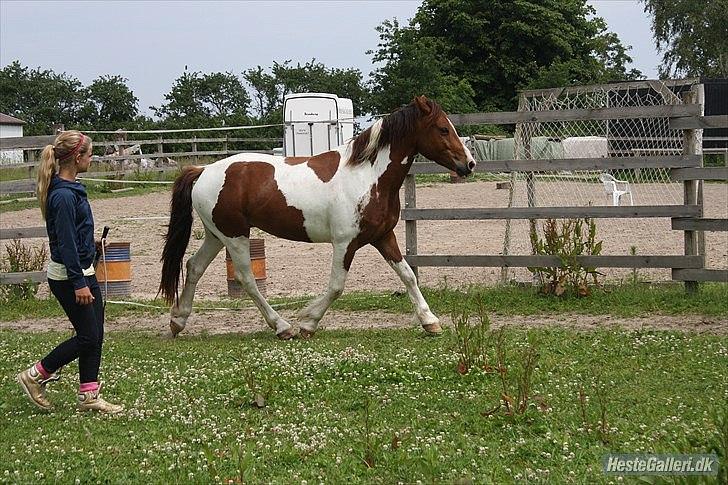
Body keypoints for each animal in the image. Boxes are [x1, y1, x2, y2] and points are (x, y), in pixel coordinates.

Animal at [160, 93, 478, 336]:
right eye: (443, 129)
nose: (470, 164)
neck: (368, 177)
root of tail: (203, 171)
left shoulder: (383, 237)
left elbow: (408, 276)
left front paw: (430, 322)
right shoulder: (345, 243)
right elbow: (336, 286)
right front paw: (308, 322)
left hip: (216, 235)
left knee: (194, 266)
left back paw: (178, 322)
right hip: (235, 236)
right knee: (246, 278)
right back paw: (282, 327)